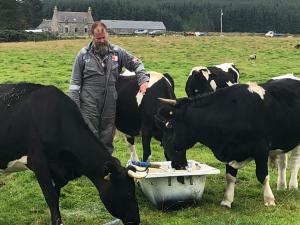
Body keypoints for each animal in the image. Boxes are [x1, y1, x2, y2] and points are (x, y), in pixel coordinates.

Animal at [0, 82, 145, 225]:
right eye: (128, 193)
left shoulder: (61, 172)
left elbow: (56, 195)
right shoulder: (38, 162)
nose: (136, 220)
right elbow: (50, 197)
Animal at [156, 75, 300, 207]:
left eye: (170, 126)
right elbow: (230, 177)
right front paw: (227, 200)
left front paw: (269, 200)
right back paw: (281, 186)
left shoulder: (261, 148)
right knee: (282, 163)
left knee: (294, 162)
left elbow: (262, 175)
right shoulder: (228, 149)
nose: (175, 164)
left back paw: (292, 186)